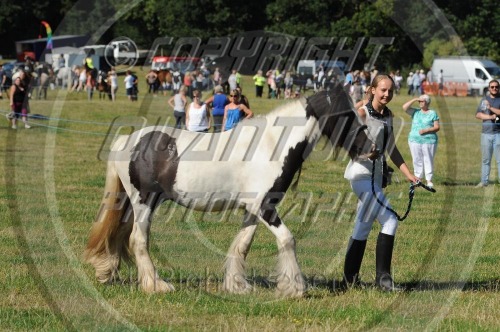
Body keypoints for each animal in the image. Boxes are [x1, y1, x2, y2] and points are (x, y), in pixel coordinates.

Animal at [85, 83, 376, 298]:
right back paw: (156, 286)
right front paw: (294, 288)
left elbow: (242, 245)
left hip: (132, 203)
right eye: (347, 114)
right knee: (138, 240)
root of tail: (128, 141)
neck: (269, 145)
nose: (371, 149)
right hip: (144, 202)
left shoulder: (254, 209)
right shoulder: (265, 208)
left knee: (119, 235)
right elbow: (287, 240)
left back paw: (108, 273)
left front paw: (237, 285)